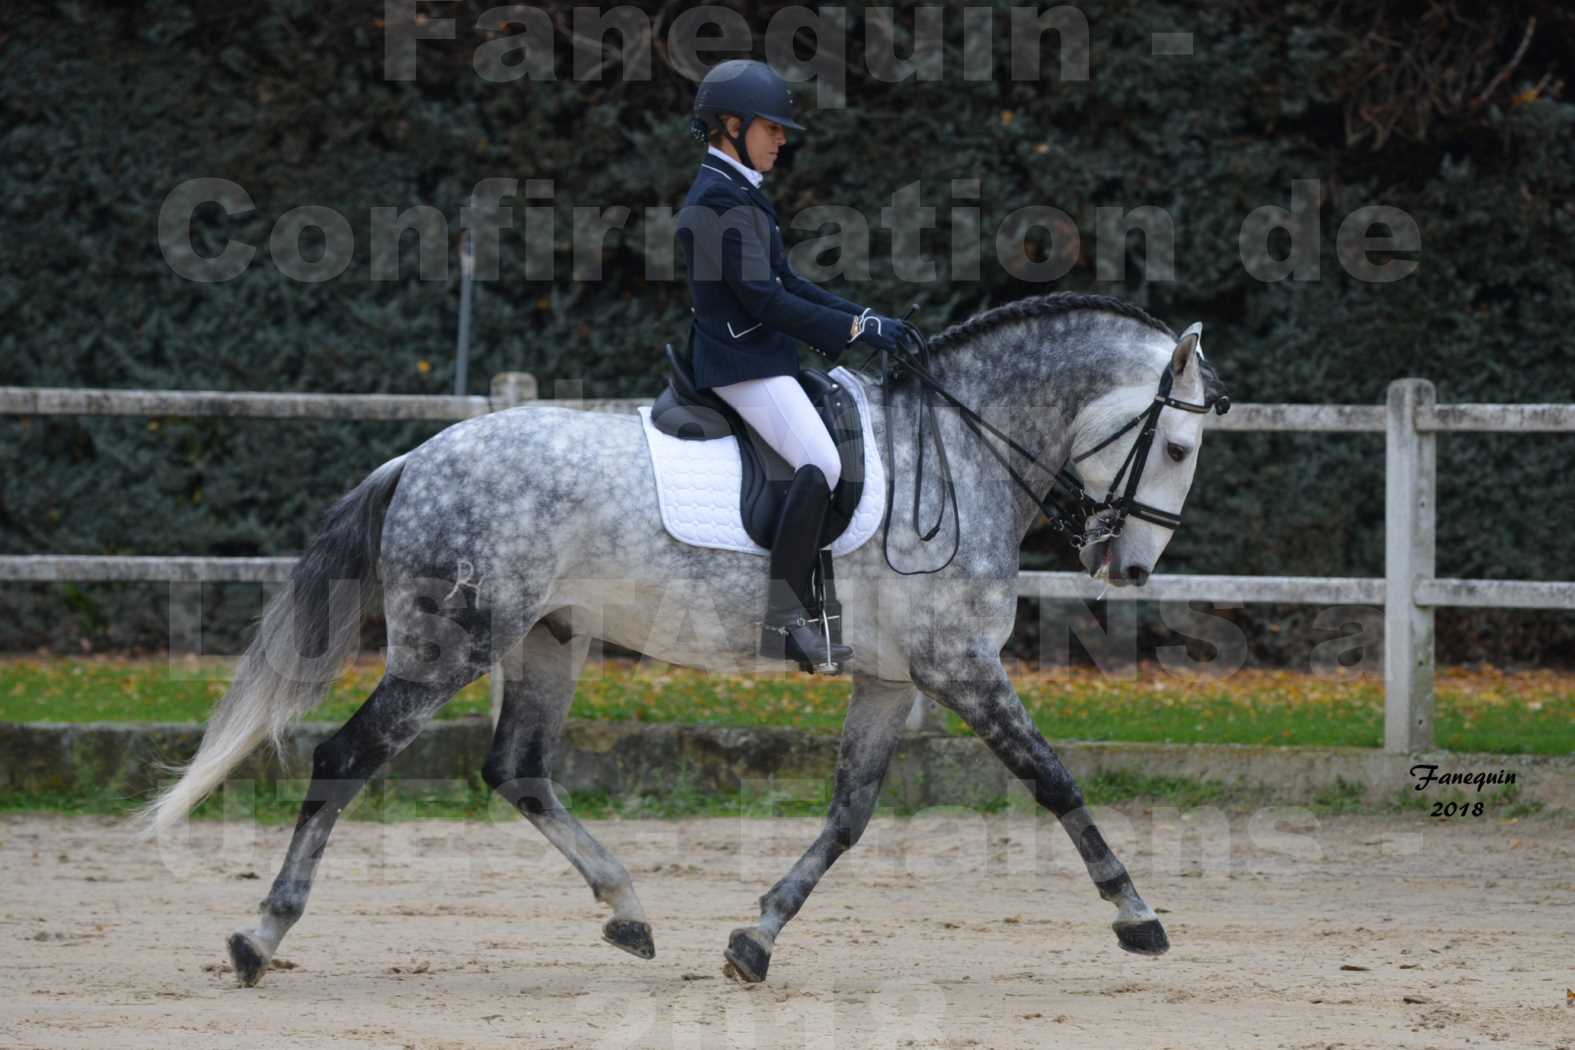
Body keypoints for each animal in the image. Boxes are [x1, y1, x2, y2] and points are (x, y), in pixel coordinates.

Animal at [138, 289, 1228, 988]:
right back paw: (260, 936)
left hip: (548, 640)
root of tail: (417, 456)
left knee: (517, 769)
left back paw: (627, 908)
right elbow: (1053, 779)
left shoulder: (892, 679)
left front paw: (756, 939)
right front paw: (1137, 916)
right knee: (347, 757)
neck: (960, 447)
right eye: (1176, 446)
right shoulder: (958, 665)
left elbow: (850, 815)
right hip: (453, 648)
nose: (1129, 569)